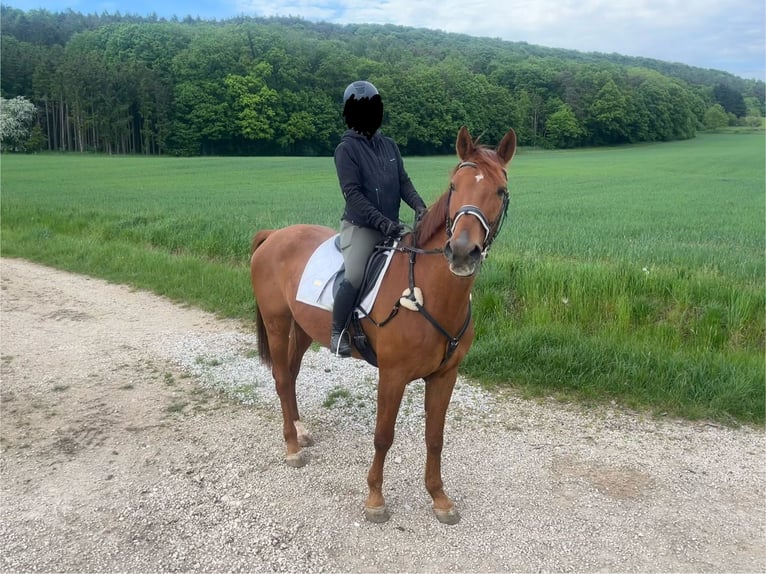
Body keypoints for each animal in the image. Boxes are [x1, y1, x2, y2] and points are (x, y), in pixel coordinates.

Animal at [249, 126, 516, 525]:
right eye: (454, 185)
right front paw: (375, 498)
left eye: (499, 190)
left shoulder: (445, 376)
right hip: (277, 323)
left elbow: (435, 437)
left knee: (292, 375)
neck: (428, 290)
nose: (461, 251)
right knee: (282, 377)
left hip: (304, 329)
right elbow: (383, 435)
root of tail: (274, 235)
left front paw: (439, 498)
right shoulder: (392, 375)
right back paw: (293, 447)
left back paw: (299, 429)